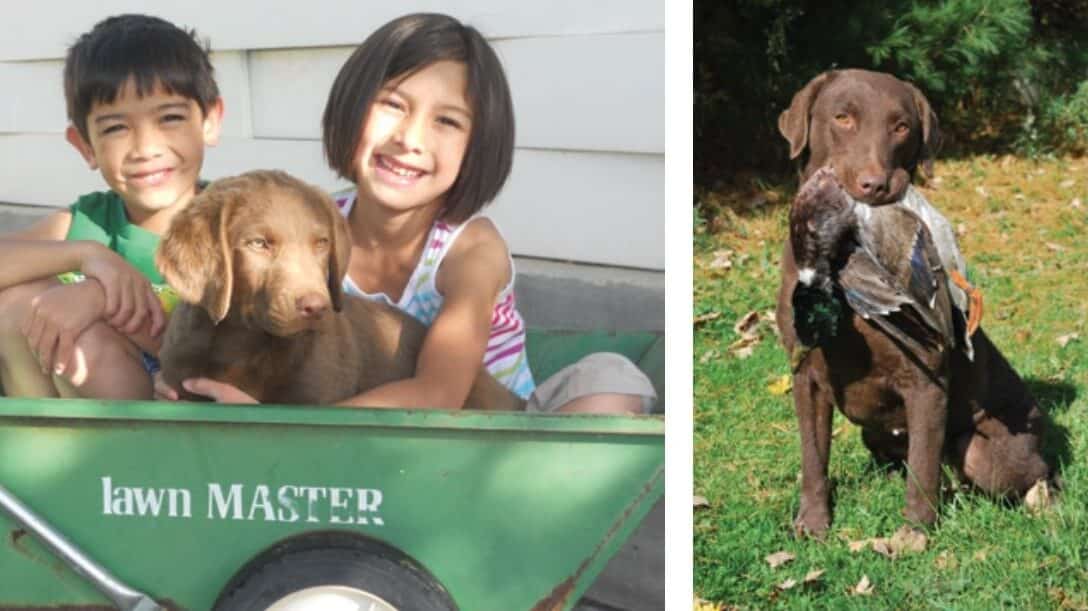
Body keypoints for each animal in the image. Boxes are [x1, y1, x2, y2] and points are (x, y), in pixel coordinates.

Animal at [774, 67, 1044, 532]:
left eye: (901, 127)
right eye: (842, 117)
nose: (875, 185)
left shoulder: (926, 381)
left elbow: (922, 467)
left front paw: (914, 534)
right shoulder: (806, 378)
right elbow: (813, 458)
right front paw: (813, 521)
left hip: (986, 451)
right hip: (875, 432)